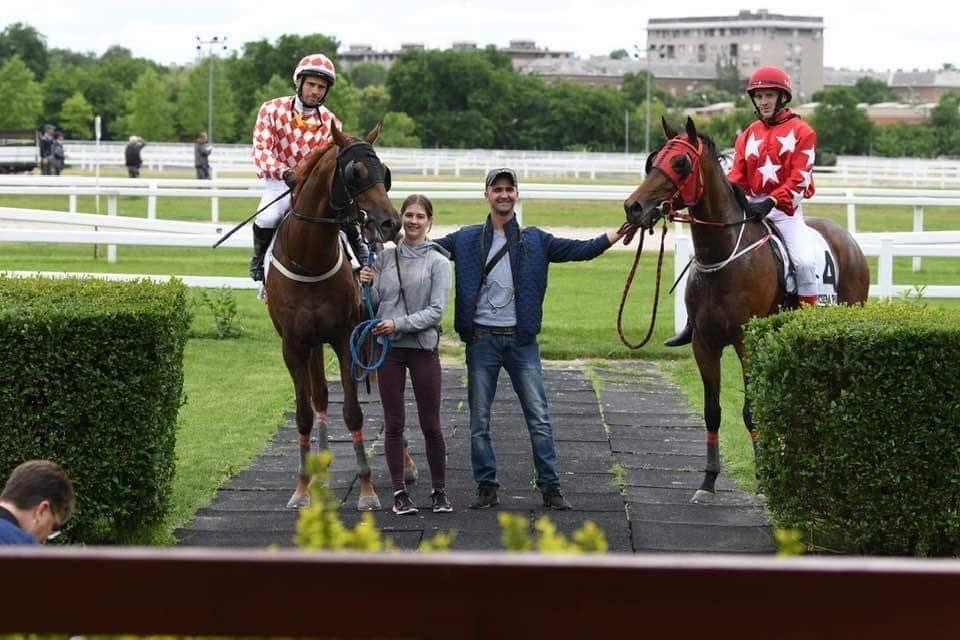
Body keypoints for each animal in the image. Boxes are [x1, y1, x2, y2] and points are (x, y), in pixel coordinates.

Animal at [266, 122, 402, 510]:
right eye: (356, 173)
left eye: (384, 172)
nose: (390, 223)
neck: (309, 261)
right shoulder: (294, 345)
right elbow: (305, 413)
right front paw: (301, 487)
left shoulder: (345, 339)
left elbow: (354, 411)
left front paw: (367, 489)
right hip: (313, 346)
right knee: (322, 396)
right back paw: (320, 471)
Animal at [623, 116, 870, 503]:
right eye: (652, 161)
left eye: (681, 163)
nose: (633, 207)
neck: (725, 258)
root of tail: (851, 242)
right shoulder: (704, 344)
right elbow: (712, 412)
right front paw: (708, 480)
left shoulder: (746, 343)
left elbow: (751, 411)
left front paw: (762, 478)